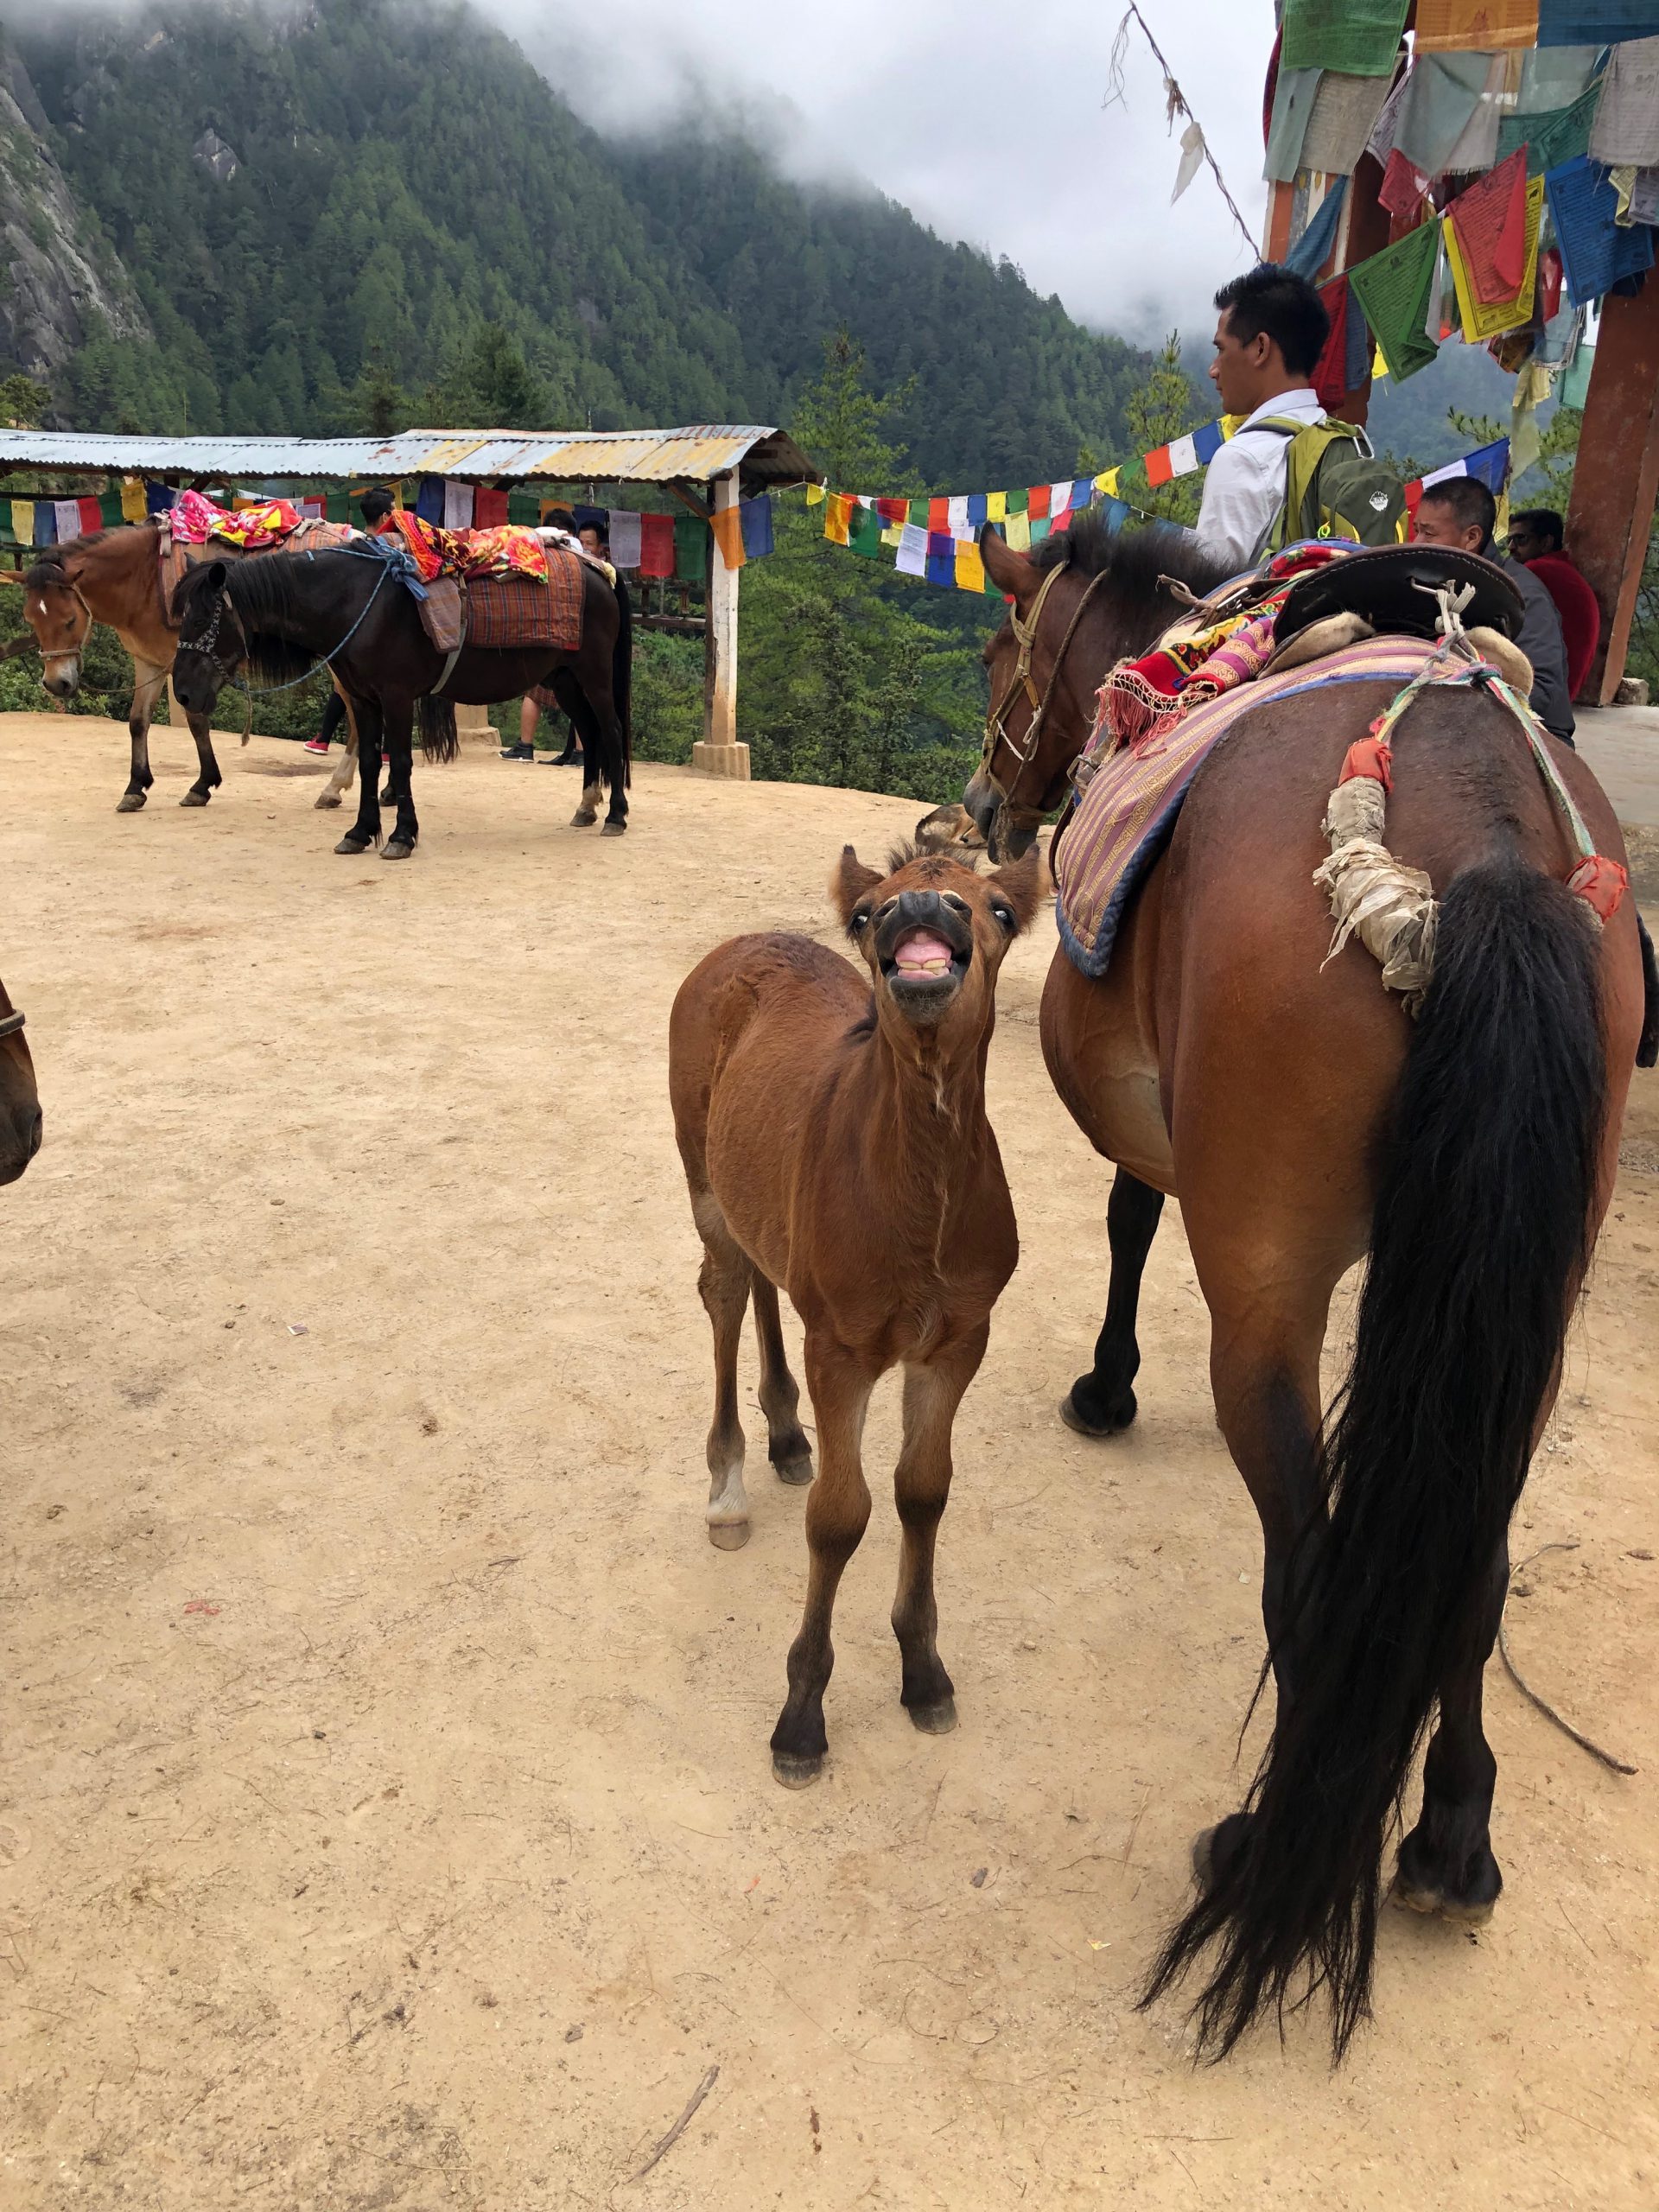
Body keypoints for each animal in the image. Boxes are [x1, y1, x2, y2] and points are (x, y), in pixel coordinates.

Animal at [668, 836, 1039, 1787]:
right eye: (872, 913)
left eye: (999, 908)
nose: (928, 908)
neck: (921, 1201)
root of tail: (740, 944)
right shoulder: (843, 1349)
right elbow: (840, 1520)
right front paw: (801, 1719)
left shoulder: (956, 1343)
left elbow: (922, 1492)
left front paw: (924, 1672)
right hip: (702, 1177)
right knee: (725, 1290)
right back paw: (728, 1485)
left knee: (766, 1279)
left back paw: (786, 1436)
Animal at [969, 512, 1654, 2052]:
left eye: (998, 658)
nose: (984, 804)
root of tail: (1480, 847)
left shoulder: (1158, 1130)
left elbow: (1125, 1216)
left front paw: (1106, 1388)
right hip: (1529, 1313)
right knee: (1473, 1558)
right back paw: (1453, 1840)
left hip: (1268, 1294)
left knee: (1312, 1563)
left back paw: (1260, 1838)